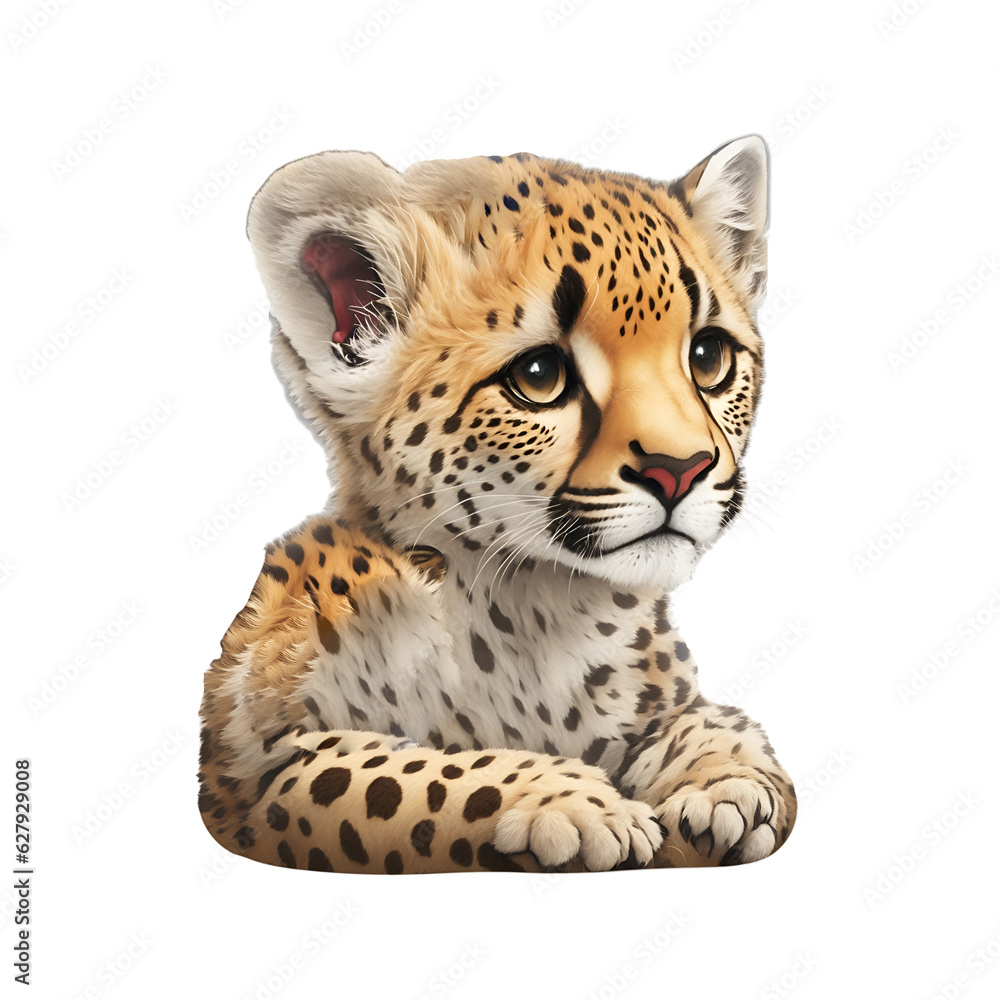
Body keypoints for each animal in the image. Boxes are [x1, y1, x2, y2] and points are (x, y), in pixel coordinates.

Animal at [197, 136, 797, 873]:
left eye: (709, 357)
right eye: (539, 376)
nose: (680, 470)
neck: (546, 607)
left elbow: (714, 722)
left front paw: (728, 784)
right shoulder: (259, 770)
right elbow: (418, 775)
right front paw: (572, 802)